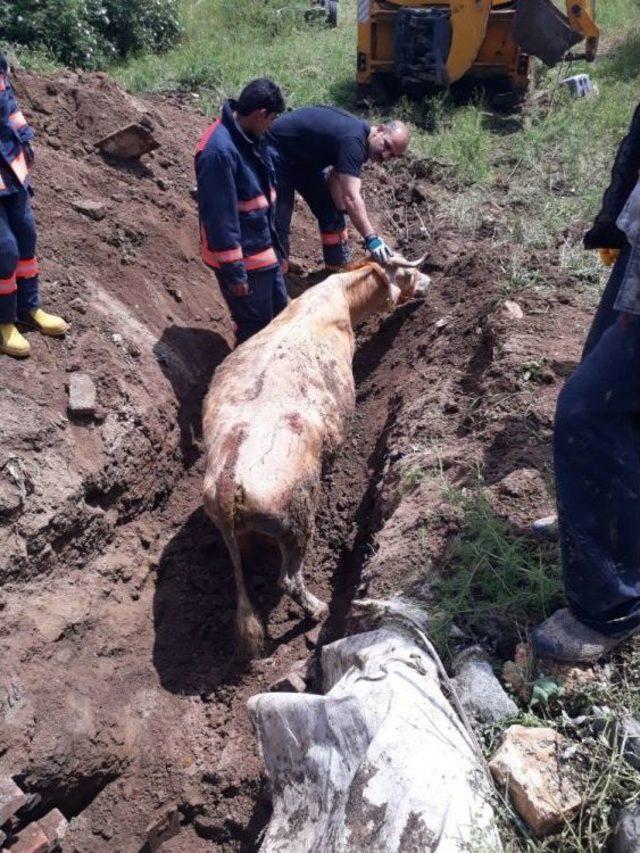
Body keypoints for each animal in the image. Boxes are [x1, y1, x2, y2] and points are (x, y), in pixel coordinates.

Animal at [201, 256, 430, 656]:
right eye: (407, 272)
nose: (430, 280)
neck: (340, 299)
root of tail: (230, 477)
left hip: (228, 524)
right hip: (296, 521)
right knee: (289, 579)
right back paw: (318, 609)